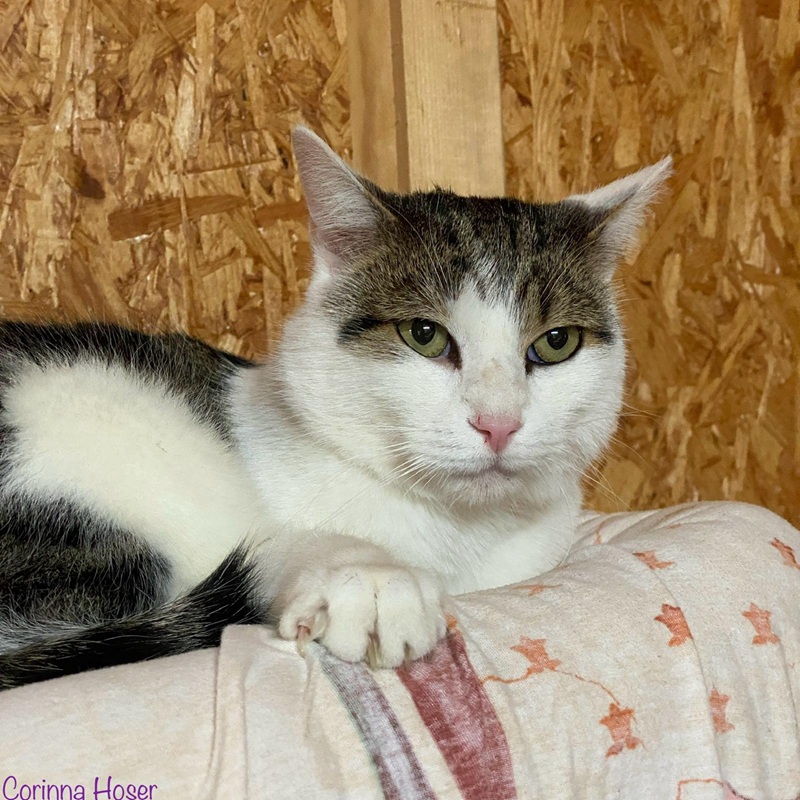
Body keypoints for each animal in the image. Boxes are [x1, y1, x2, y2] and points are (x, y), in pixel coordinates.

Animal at [0, 128, 671, 689]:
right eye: (424, 335)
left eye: (556, 343)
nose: (498, 422)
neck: (458, 532)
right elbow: (279, 544)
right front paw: (371, 581)